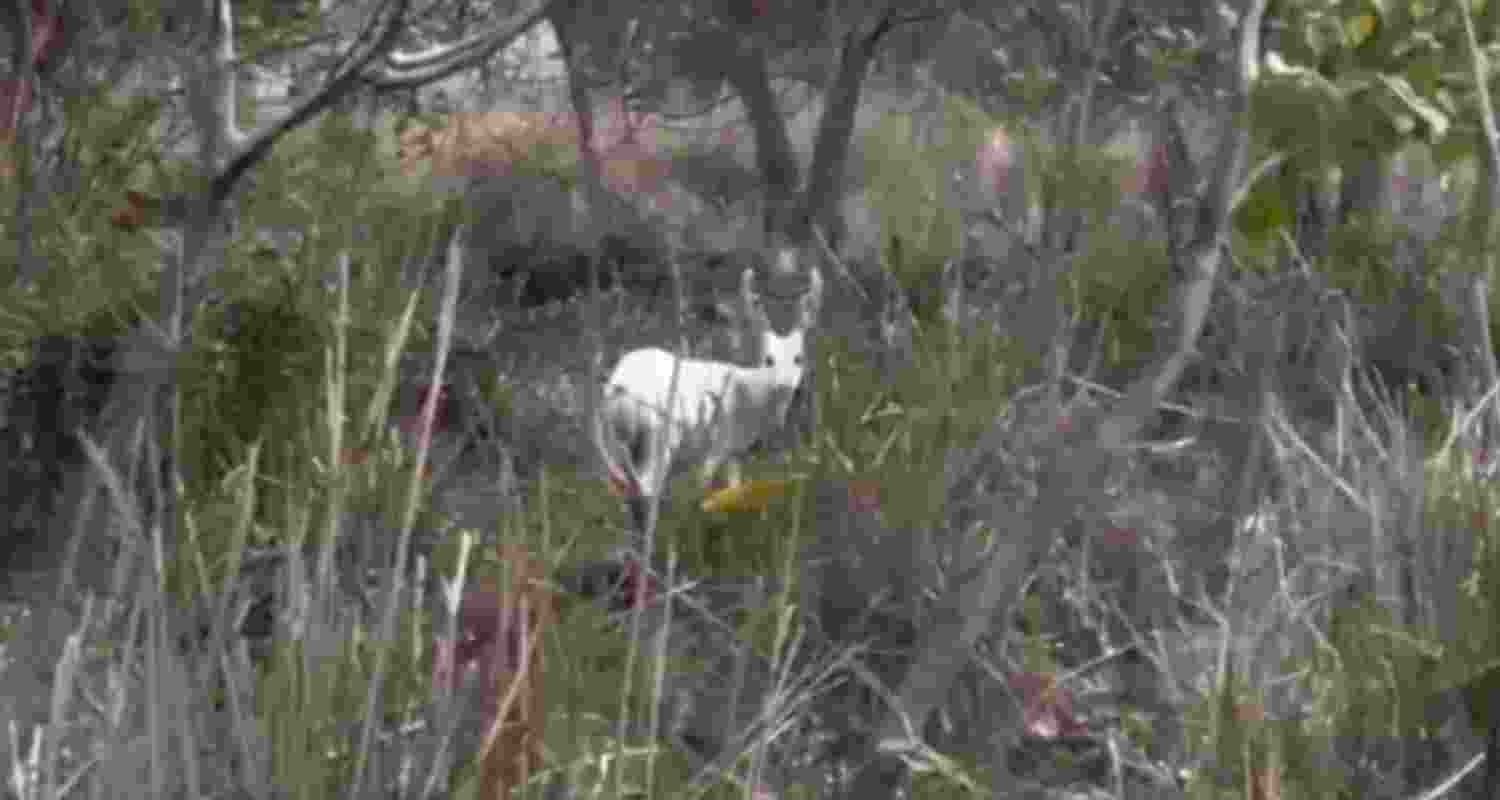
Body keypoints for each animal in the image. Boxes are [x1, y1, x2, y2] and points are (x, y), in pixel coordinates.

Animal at [594, 257, 824, 536]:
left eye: (798, 358)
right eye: (768, 359)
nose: (786, 385)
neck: (749, 395)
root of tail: (618, 390)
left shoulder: (735, 451)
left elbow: (735, 490)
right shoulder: (717, 443)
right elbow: (703, 488)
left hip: (616, 441)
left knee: (626, 489)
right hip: (658, 434)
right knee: (647, 487)